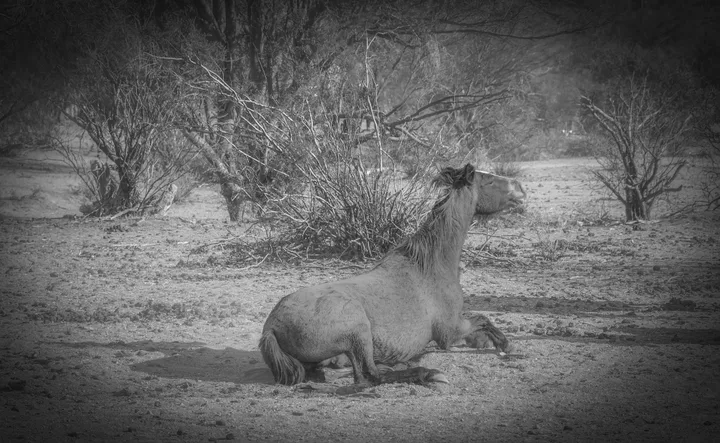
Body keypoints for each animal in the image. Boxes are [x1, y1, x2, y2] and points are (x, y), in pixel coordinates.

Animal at [259, 163, 526, 387]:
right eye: (489, 181)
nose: (520, 189)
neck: (431, 266)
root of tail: (271, 327)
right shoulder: (450, 331)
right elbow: (483, 319)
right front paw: (505, 343)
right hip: (359, 331)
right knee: (369, 376)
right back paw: (427, 374)